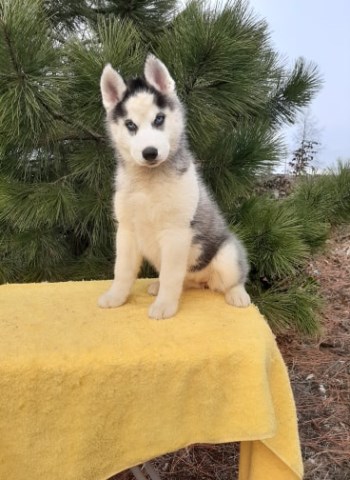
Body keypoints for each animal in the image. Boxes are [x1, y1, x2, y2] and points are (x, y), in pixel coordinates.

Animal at [98, 55, 250, 318]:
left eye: (159, 119)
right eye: (130, 125)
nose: (150, 153)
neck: (149, 182)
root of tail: (202, 280)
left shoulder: (175, 232)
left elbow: (171, 276)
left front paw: (164, 306)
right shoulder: (126, 230)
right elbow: (123, 271)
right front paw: (116, 297)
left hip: (227, 255)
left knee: (234, 277)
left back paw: (237, 294)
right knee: (183, 280)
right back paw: (159, 285)